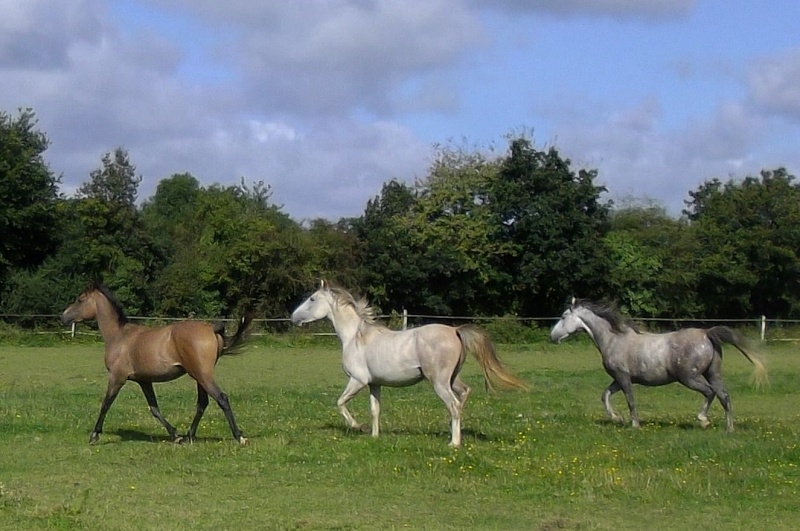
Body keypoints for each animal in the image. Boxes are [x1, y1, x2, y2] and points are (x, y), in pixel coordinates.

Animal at [61, 284, 252, 446]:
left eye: (80, 299)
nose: (63, 317)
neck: (119, 336)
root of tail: (211, 329)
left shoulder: (117, 377)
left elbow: (106, 403)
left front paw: (94, 435)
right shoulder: (144, 381)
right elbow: (154, 408)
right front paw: (175, 435)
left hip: (202, 375)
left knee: (221, 398)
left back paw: (239, 437)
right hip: (199, 377)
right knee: (202, 403)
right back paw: (188, 436)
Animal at [288, 280, 524, 446]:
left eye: (312, 299)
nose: (293, 318)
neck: (355, 337)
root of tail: (455, 330)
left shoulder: (358, 380)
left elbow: (340, 403)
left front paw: (358, 427)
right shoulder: (374, 384)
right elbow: (375, 410)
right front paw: (374, 436)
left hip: (439, 382)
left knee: (454, 405)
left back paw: (454, 443)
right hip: (453, 379)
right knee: (464, 394)